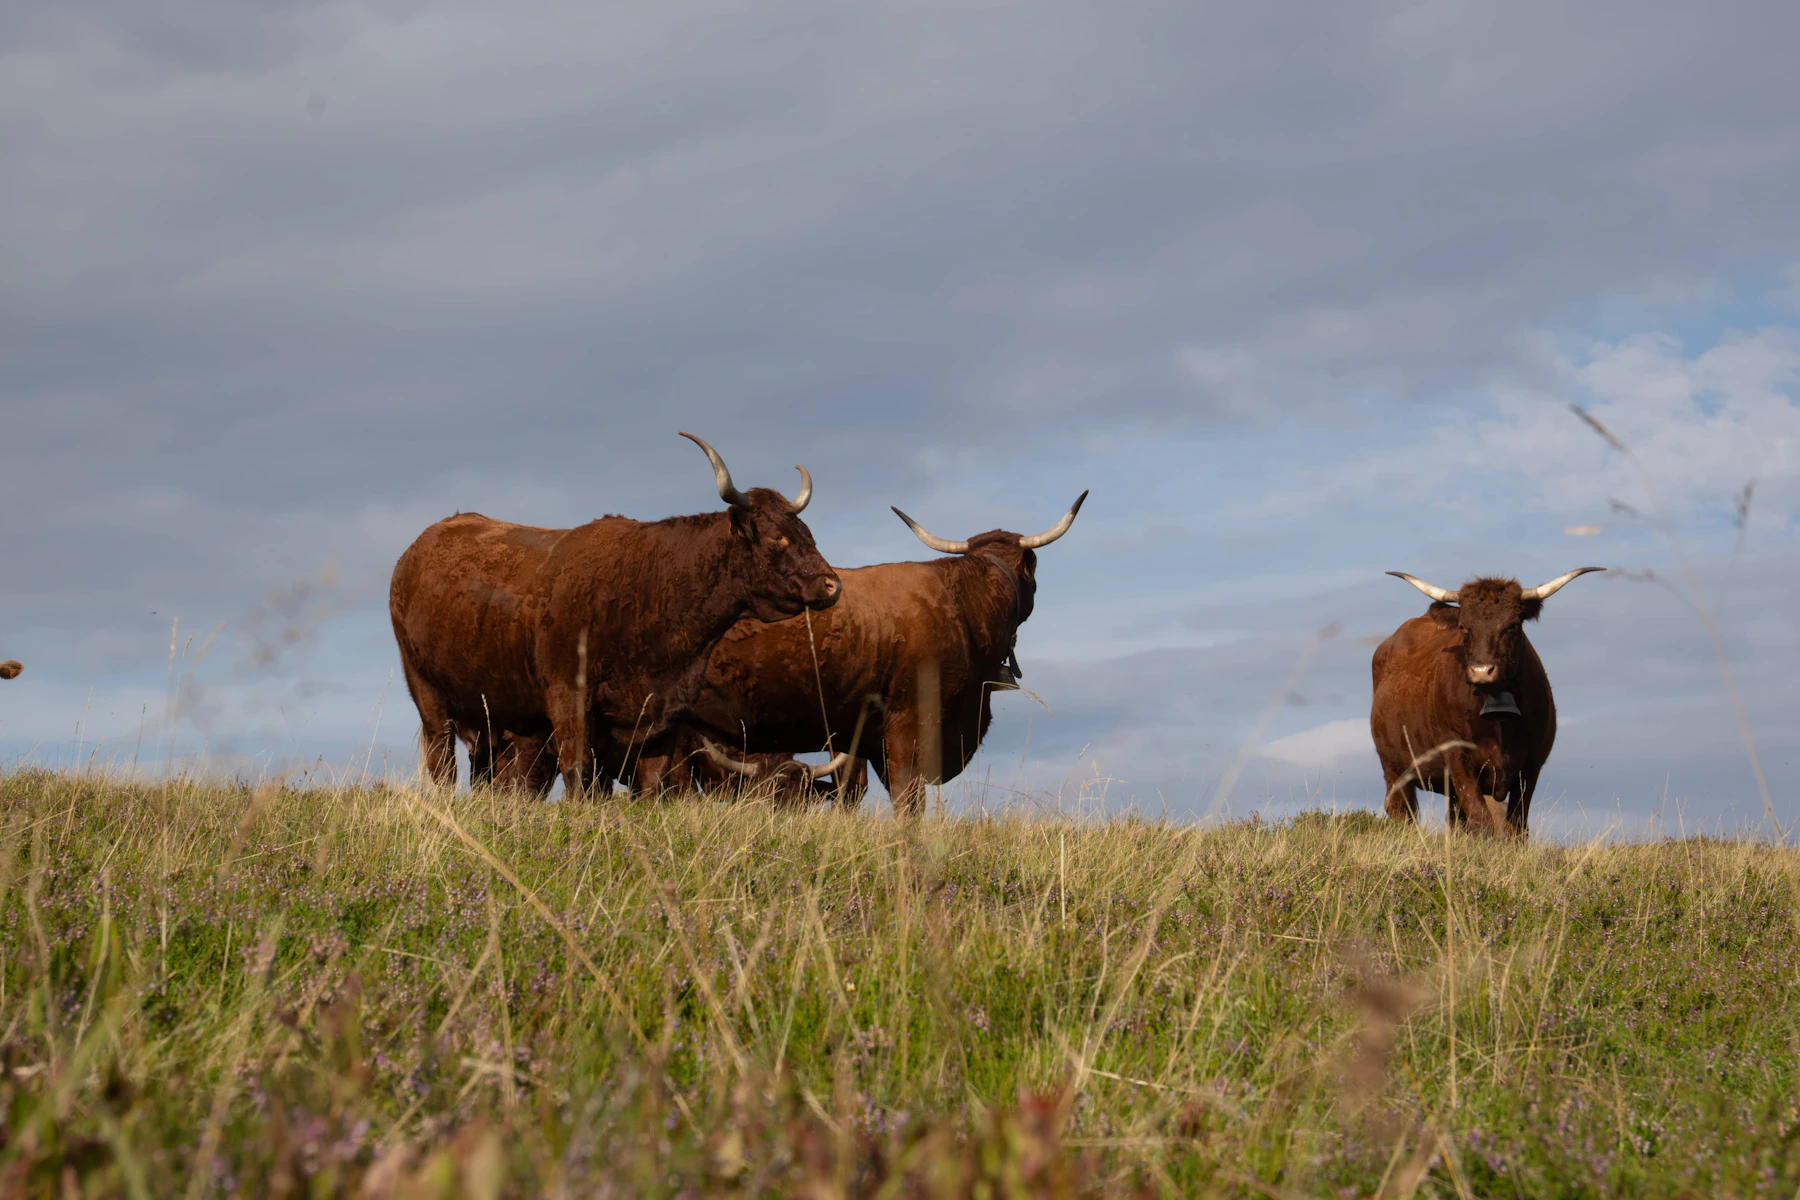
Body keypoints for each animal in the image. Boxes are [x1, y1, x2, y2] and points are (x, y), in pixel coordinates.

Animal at [389, 433, 841, 797]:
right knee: (443, 766)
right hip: (428, 694)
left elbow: (654, 784)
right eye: (777, 537)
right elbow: (579, 773)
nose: (832, 584)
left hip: (491, 713)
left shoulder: (664, 715)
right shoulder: (568, 698)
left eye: (808, 534)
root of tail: (416, 550)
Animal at [1370, 567, 1604, 835]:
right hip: (1394, 768)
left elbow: (1516, 827)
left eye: (1512, 626)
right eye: (1463, 627)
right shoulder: (1456, 754)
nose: (1482, 671)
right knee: (1401, 811)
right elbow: (1482, 821)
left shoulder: (1531, 764)